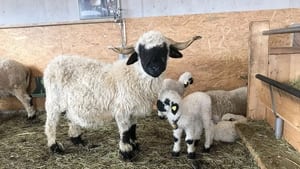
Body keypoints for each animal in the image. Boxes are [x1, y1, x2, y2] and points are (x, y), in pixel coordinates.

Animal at [42, 30, 202, 160]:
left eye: (164, 50)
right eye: (141, 52)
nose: (155, 68)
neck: (135, 76)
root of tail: (54, 62)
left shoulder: (133, 110)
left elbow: (133, 129)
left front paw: (135, 145)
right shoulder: (122, 109)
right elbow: (125, 131)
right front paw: (126, 152)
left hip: (71, 103)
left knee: (71, 118)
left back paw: (78, 140)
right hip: (53, 102)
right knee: (50, 125)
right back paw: (54, 147)